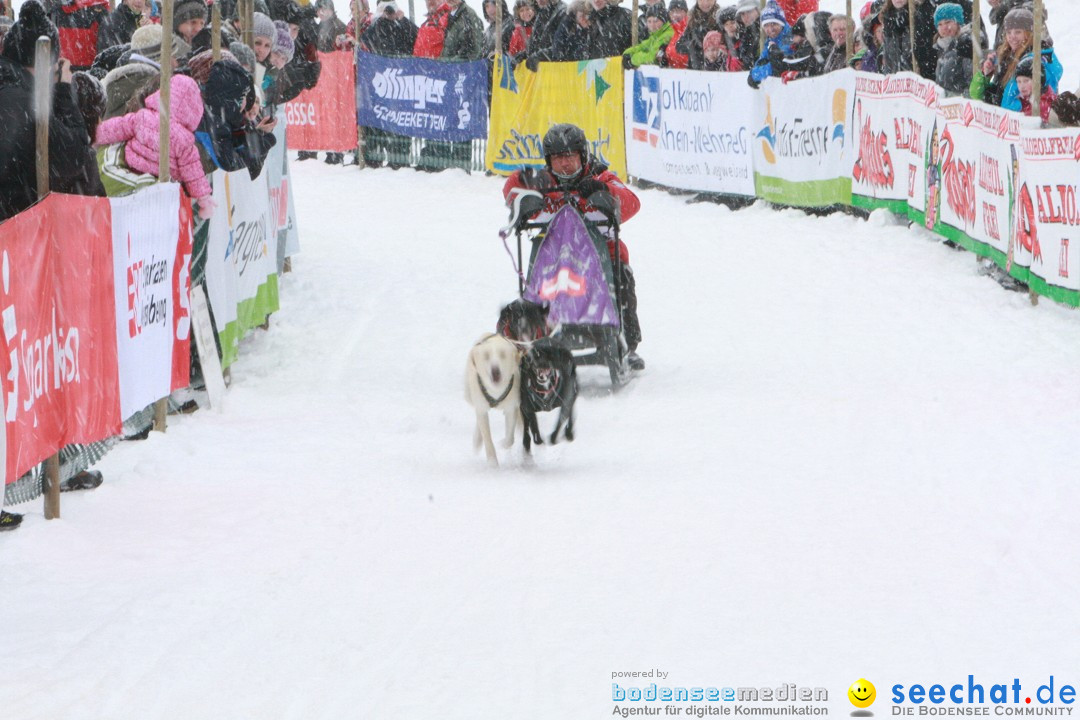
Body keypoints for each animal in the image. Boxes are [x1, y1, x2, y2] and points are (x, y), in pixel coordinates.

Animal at [464, 334, 522, 468]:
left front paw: (503, 443)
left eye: (502, 354)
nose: (495, 370)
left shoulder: (512, 408)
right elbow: (487, 437)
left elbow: (510, 438)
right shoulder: (481, 408)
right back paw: (477, 440)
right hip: (470, 396)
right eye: (486, 356)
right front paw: (492, 463)